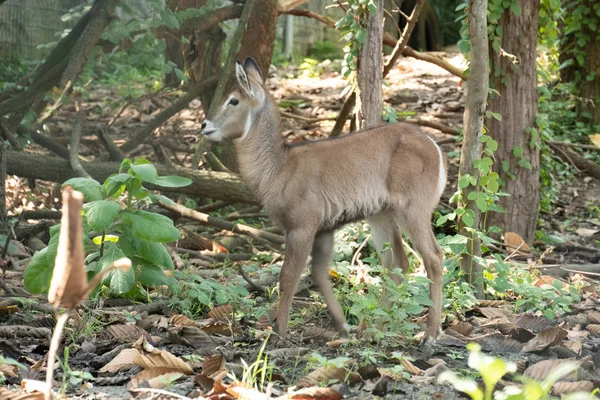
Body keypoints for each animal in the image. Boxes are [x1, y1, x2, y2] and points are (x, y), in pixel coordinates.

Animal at [202, 57, 446, 340]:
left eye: (233, 100)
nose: (205, 125)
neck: (279, 168)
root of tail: (434, 147)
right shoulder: (324, 229)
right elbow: (318, 273)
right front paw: (342, 325)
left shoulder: (301, 226)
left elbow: (288, 276)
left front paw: (280, 330)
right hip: (381, 215)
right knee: (396, 263)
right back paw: (374, 328)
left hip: (413, 209)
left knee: (433, 257)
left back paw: (429, 334)